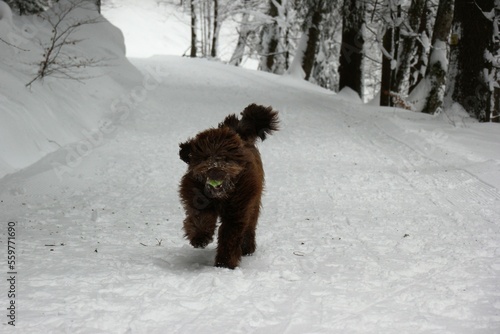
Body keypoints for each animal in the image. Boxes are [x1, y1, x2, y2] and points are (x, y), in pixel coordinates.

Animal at [178, 104, 278, 268]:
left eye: (225, 158)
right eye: (205, 157)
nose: (214, 170)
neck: (221, 195)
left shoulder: (238, 208)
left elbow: (230, 234)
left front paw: (224, 263)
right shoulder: (196, 195)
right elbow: (201, 216)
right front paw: (201, 237)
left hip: (253, 203)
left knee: (250, 225)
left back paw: (247, 248)